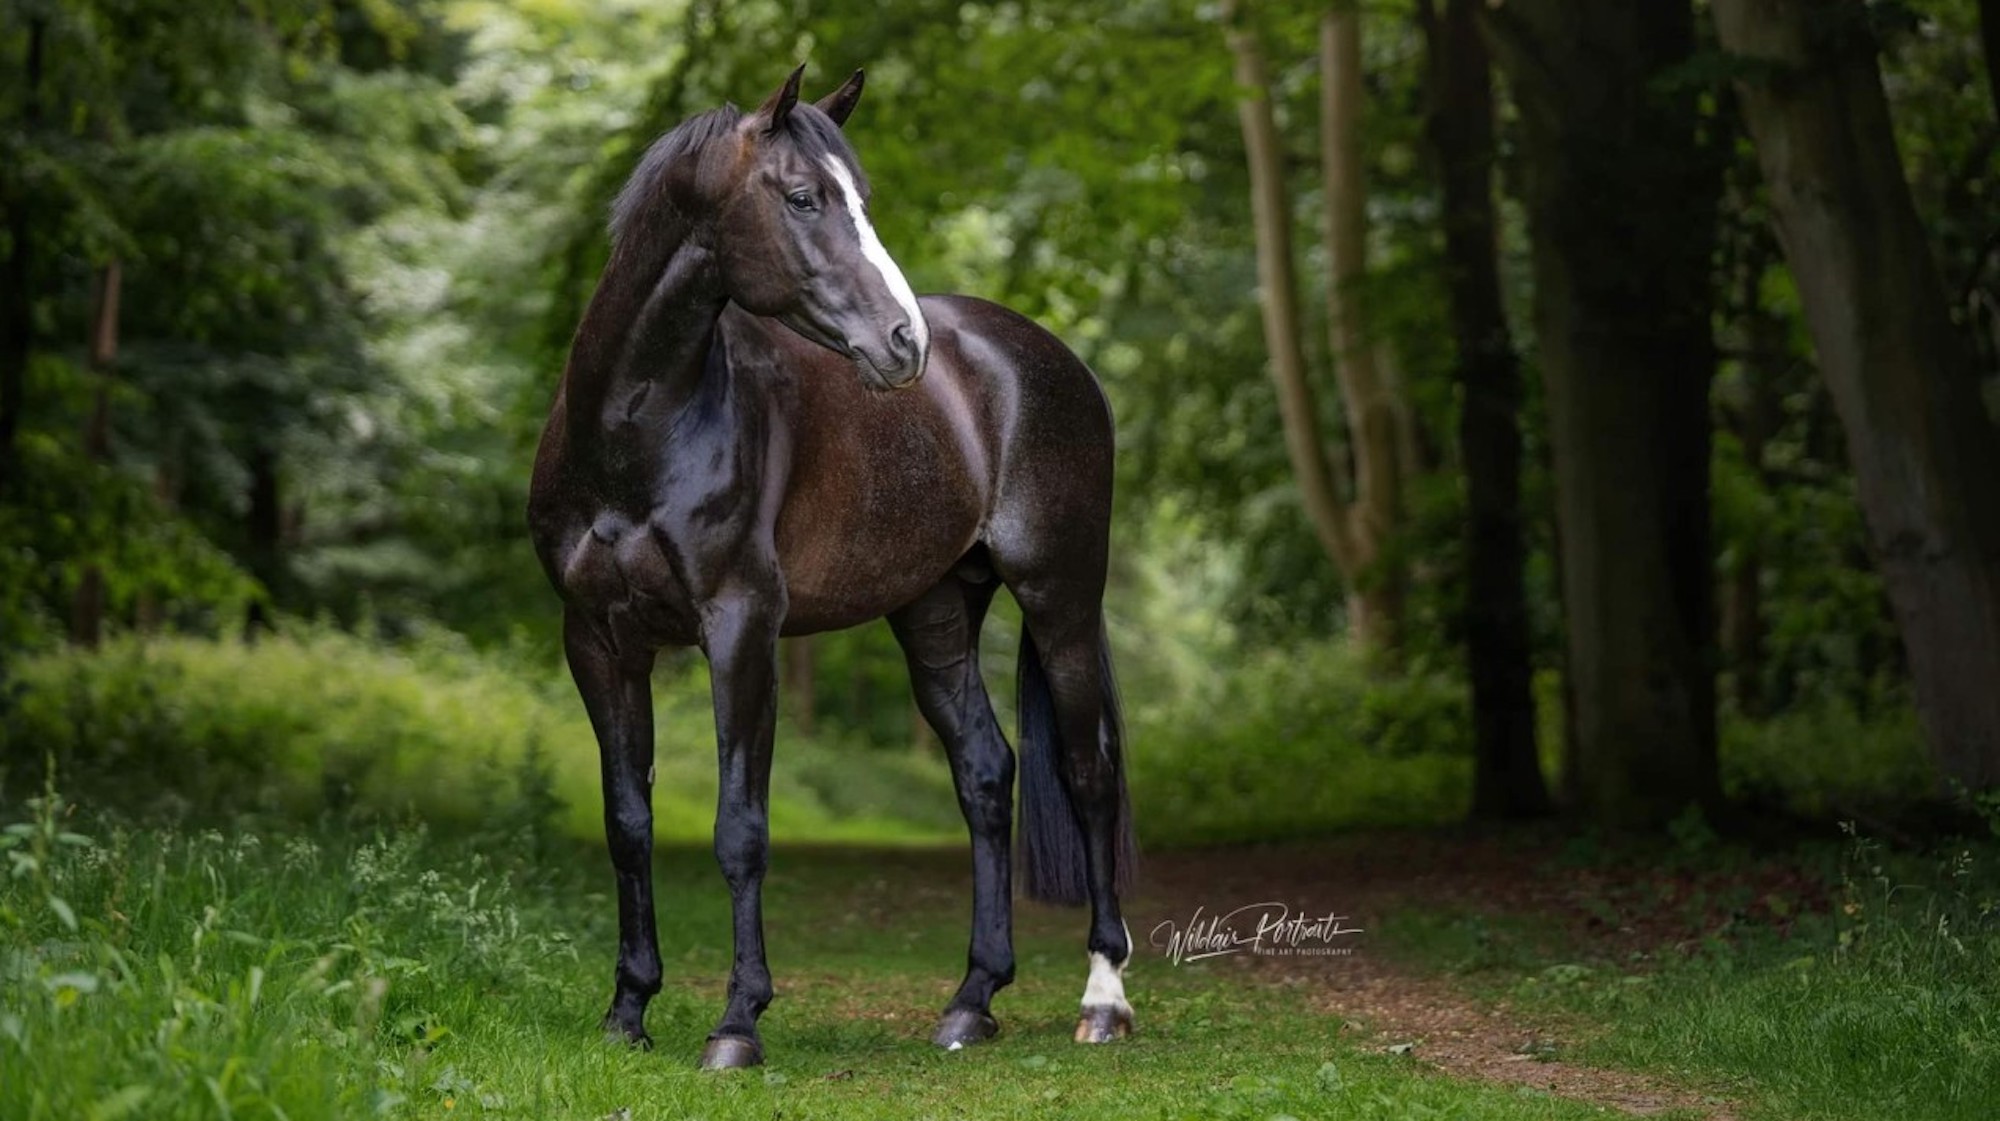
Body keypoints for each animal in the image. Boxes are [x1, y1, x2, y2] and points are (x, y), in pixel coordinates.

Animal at [526, 66, 1136, 1070]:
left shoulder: (741, 628)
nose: (904, 342)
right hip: (934, 614)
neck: (636, 434)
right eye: (804, 197)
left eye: (863, 199)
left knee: (1088, 770)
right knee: (986, 772)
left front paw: (737, 1022)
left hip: (1062, 597)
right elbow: (628, 822)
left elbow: (741, 828)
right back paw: (971, 1001)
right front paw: (628, 1010)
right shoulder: (599, 640)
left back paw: (1104, 999)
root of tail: (1047, 356)